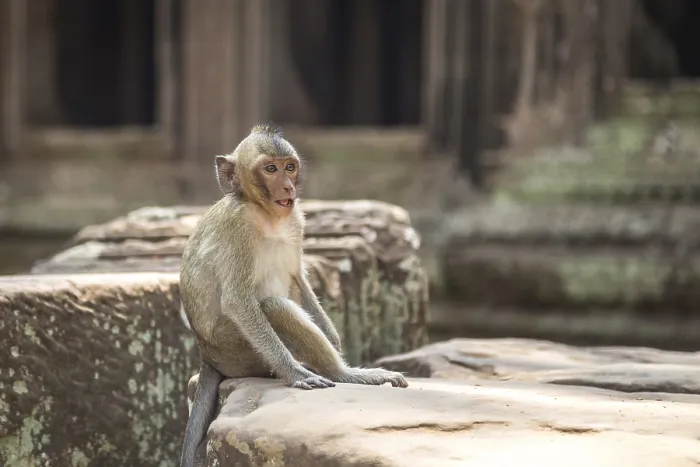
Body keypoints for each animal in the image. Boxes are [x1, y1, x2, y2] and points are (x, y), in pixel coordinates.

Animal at [179, 124, 408, 467]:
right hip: (236, 351)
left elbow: (299, 277)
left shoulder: (296, 220)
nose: (287, 186)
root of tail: (206, 354)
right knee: (274, 307)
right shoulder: (237, 228)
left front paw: (334, 342)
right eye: (270, 169)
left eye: (289, 167)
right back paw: (343, 373)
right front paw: (295, 372)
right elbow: (238, 301)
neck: (266, 214)